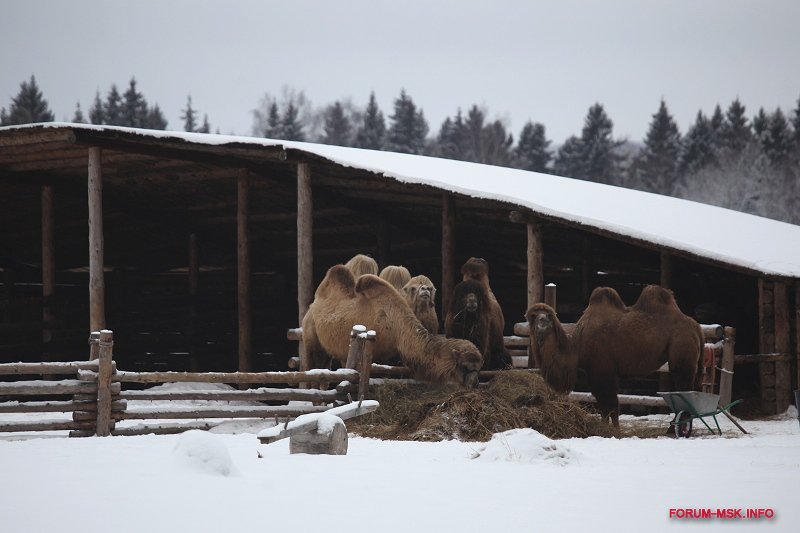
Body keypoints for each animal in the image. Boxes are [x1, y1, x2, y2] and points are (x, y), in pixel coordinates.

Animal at [302, 266, 482, 386]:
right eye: (465, 367)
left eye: (478, 368)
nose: (474, 384)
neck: (396, 326)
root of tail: (311, 308)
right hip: (311, 342)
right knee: (312, 373)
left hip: (327, 352)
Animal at [528, 284, 704, 426]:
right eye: (533, 316)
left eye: (548, 316)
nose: (541, 321)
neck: (577, 346)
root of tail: (696, 326)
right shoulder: (595, 373)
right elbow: (605, 405)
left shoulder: (602, 370)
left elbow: (610, 404)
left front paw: (614, 430)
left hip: (682, 350)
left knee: (684, 391)